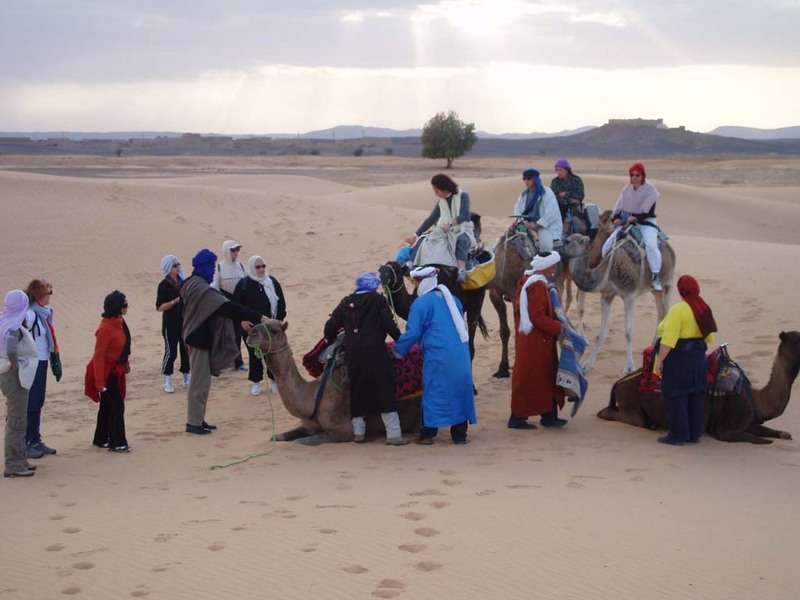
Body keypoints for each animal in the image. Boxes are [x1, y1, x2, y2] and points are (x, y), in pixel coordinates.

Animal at [244, 322, 422, 442]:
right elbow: (278, 437)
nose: (250, 333)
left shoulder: (343, 431)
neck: (313, 396)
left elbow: (313, 439)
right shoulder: (309, 425)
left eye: (273, 330)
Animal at [564, 209, 676, 372]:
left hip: (668, 284)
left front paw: (629, 367)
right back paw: (652, 348)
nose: (559, 244)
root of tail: (669, 248)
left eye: (570, 241)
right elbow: (601, 334)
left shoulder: (629, 296)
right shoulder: (607, 295)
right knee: (661, 314)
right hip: (656, 291)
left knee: (666, 313)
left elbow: (628, 332)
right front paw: (587, 365)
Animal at [600, 330, 800, 442]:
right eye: (797, 341)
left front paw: (783, 434)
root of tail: (619, 382)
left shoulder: (750, 422)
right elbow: (755, 439)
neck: (756, 398)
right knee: (620, 416)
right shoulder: (725, 430)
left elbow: (777, 433)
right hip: (631, 405)